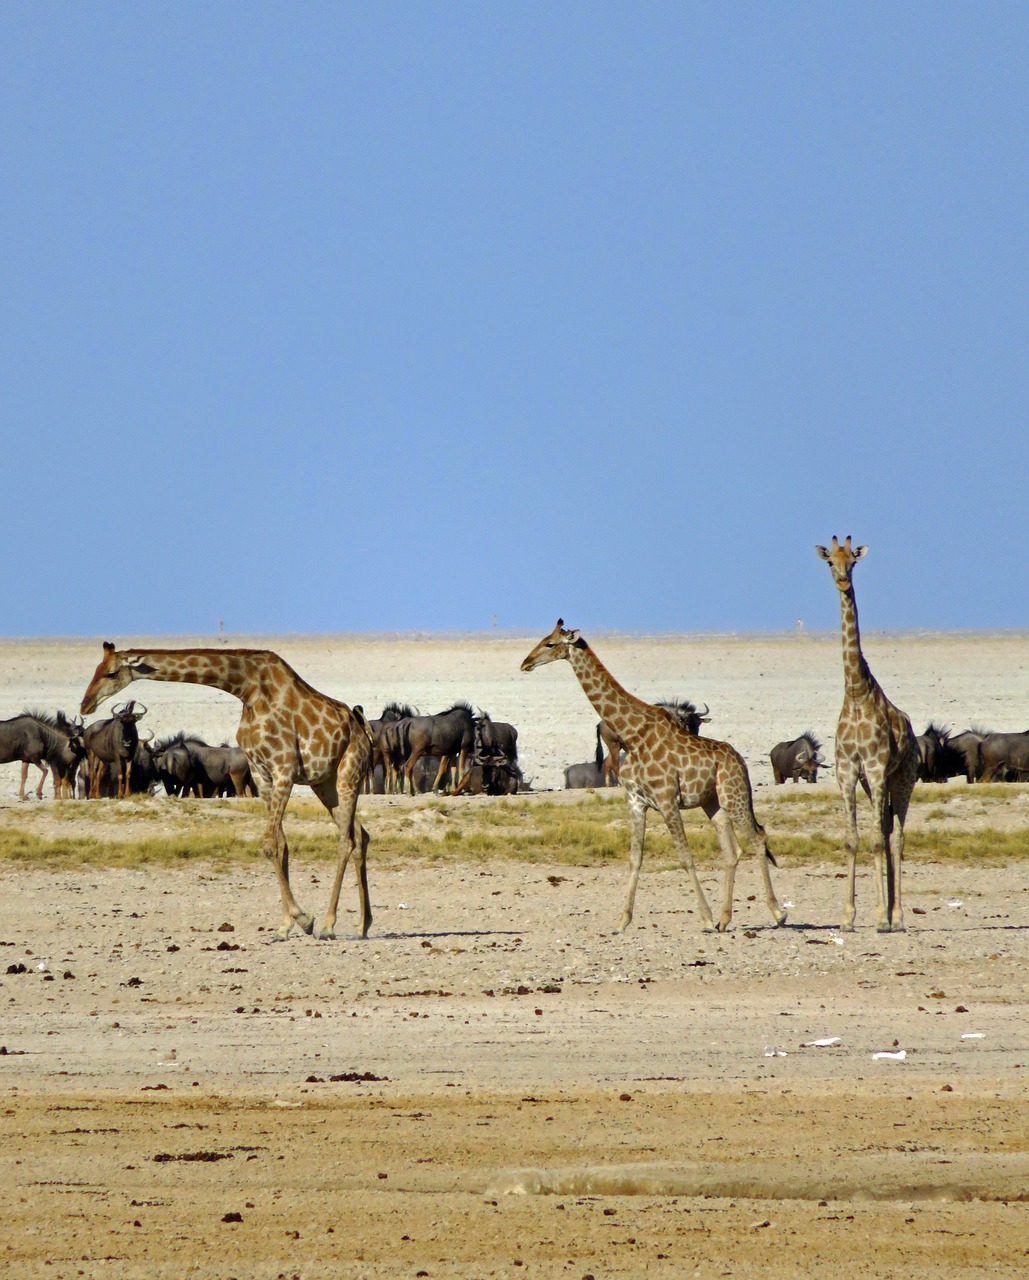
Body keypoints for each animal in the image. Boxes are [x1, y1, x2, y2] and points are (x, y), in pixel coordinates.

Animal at [80, 645, 376, 947]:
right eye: (96, 669)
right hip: (325, 783)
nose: (85, 704)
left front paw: (305, 920)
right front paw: (285, 926)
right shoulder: (261, 773)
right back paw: (364, 924)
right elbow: (280, 846)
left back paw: (329, 925)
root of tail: (364, 731)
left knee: (347, 840)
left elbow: (270, 844)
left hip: (348, 773)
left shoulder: (284, 769)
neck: (247, 689)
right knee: (360, 834)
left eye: (111, 673)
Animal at [522, 619, 788, 931]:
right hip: (713, 802)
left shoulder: (666, 799)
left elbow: (685, 856)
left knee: (758, 838)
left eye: (550, 643)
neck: (633, 736)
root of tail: (741, 763)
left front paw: (705, 917)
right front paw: (623, 920)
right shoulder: (636, 801)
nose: (525, 663)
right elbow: (635, 858)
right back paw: (725, 919)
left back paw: (777, 913)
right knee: (732, 851)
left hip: (735, 796)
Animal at [813, 535, 921, 936]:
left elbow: (876, 840)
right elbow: (852, 840)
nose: (843, 581)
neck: (857, 694)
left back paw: (897, 917)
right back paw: (890, 911)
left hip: (903, 778)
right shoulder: (847, 773)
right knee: (888, 831)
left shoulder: (874, 769)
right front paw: (848, 917)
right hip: (879, 783)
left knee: (897, 837)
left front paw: (879, 917)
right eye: (831, 562)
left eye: (854, 562)